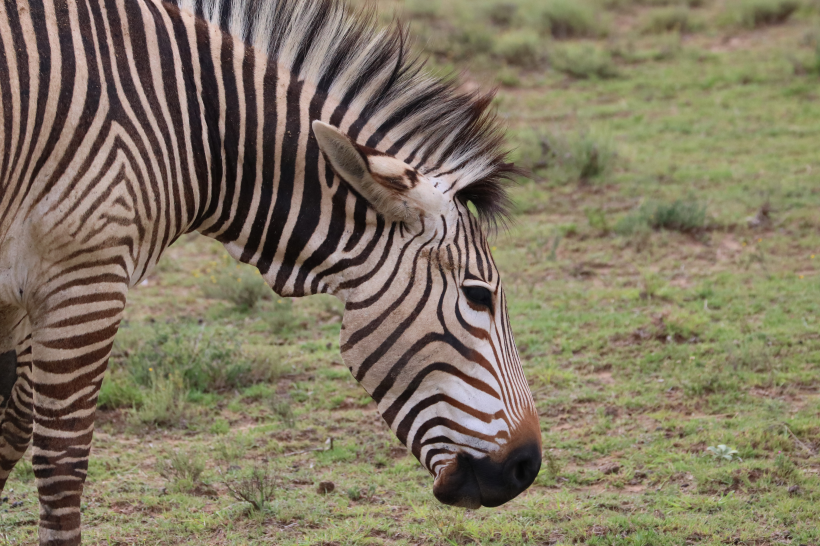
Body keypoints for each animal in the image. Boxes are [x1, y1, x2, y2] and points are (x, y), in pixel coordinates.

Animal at [0, 0, 540, 540]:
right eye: (478, 295)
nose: (527, 467)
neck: (190, 126)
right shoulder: (86, 276)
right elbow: (62, 459)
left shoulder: (23, 295)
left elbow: (9, 432)